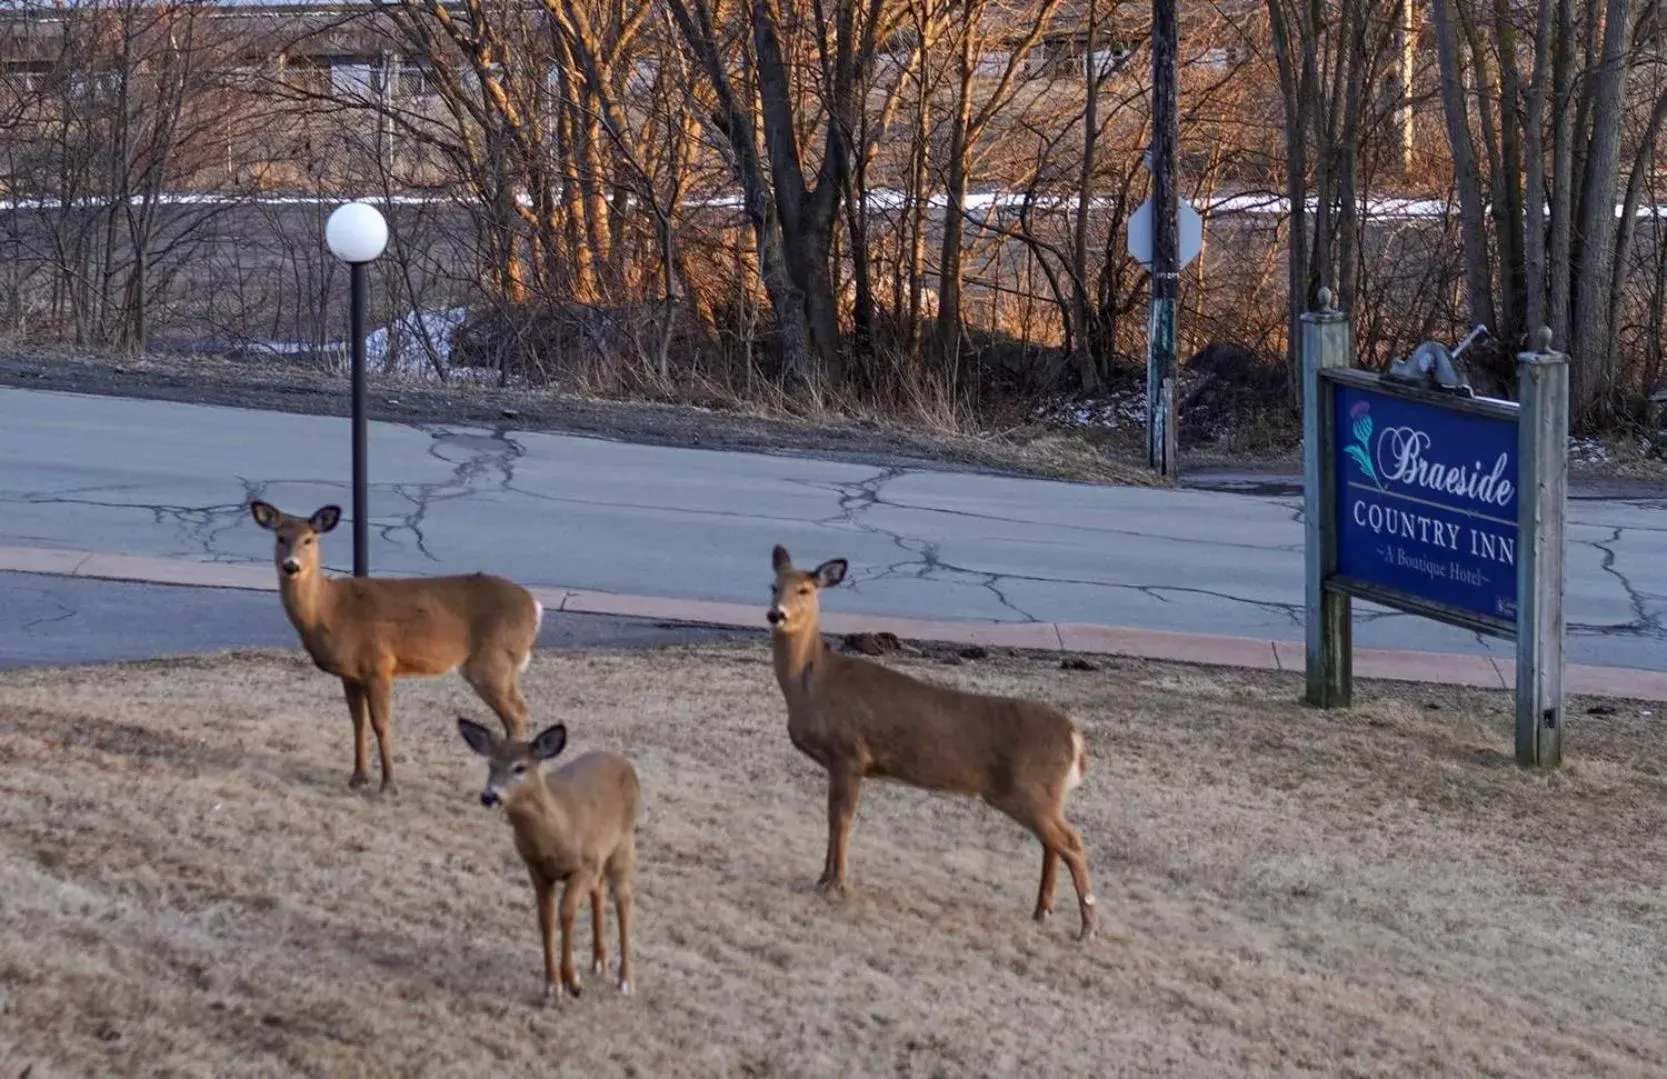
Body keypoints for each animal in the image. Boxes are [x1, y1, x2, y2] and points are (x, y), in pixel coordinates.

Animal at [246, 500, 540, 793]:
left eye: (309, 539)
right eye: (280, 537)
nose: (291, 566)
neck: (329, 610)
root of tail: (535, 607)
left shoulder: (379, 663)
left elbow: (381, 724)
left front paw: (388, 784)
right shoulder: (351, 674)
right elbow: (358, 723)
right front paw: (358, 777)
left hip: (492, 661)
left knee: (516, 713)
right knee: (518, 711)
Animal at [460, 717, 640, 1007]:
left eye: (520, 767)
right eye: (490, 764)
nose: (489, 796)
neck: (557, 833)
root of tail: (625, 762)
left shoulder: (583, 865)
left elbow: (565, 912)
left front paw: (572, 981)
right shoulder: (537, 871)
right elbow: (545, 919)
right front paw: (552, 986)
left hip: (624, 842)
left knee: (623, 899)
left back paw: (625, 980)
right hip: (602, 856)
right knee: (599, 890)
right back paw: (599, 961)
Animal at [763, 543, 1100, 940]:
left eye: (805, 590)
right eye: (773, 586)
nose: (776, 614)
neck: (814, 686)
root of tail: (1076, 741)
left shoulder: (850, 754)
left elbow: (842, 819)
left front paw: (836, 885)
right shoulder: (838, 763)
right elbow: (832, 818)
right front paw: (822, 879)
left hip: (1028, 788)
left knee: (1072, 842)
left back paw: (1088, 927)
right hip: (1042, 795)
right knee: (1053, 843)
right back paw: (1042, 912)